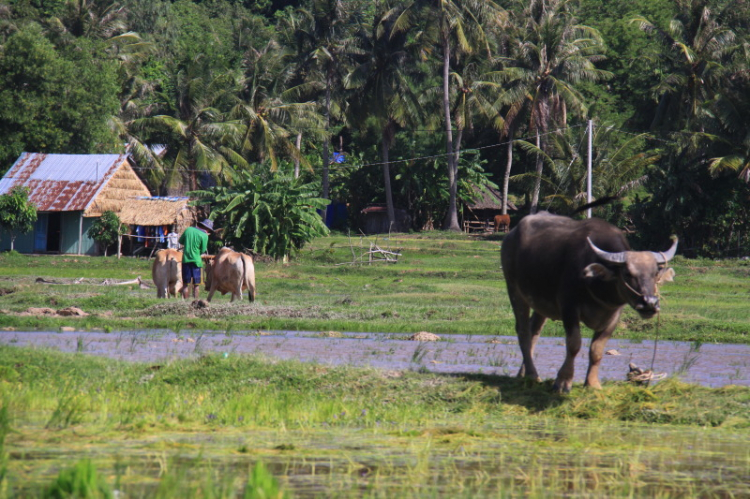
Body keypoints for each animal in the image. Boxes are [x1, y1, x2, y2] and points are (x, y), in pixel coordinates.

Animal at [502, 213, 680, 392]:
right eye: (627, 273)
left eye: (655, 274)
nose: (650, 303)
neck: (596, 284)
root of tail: (511, 235)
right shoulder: (569, 308)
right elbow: (574, 344)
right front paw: (563, 381)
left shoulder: (614, 315)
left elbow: (597, 349)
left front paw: (592, 383)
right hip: (514, 290)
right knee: (523, 331)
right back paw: (532, 374)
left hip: (540, 304)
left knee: (534, 331)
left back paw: (523, 374)